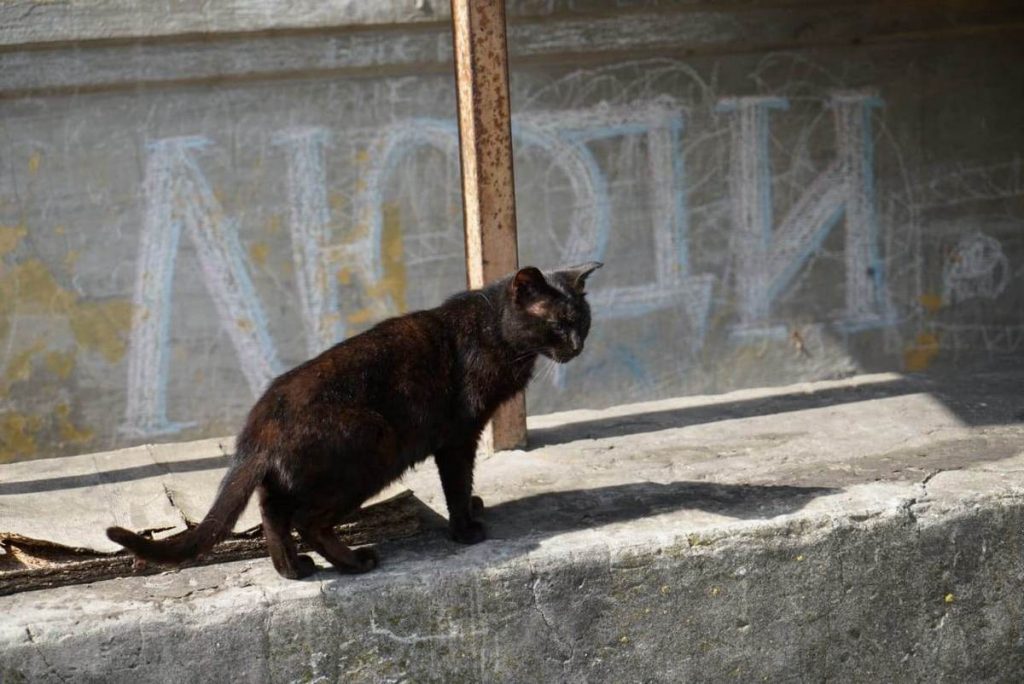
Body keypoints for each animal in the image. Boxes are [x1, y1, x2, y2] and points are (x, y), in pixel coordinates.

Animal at [105, 262, 598, 577]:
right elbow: (457, 485)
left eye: (584, 322)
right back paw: (353, 563)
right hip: (375, 447)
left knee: (272, 511)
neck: (497, 331)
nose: (577, 346)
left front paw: (475, 507)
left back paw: (293, 570)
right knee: (308, 520)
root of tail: (258, 425)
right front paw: (465, 530)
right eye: (559, 324)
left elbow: (466, 485)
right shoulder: (458, 437)